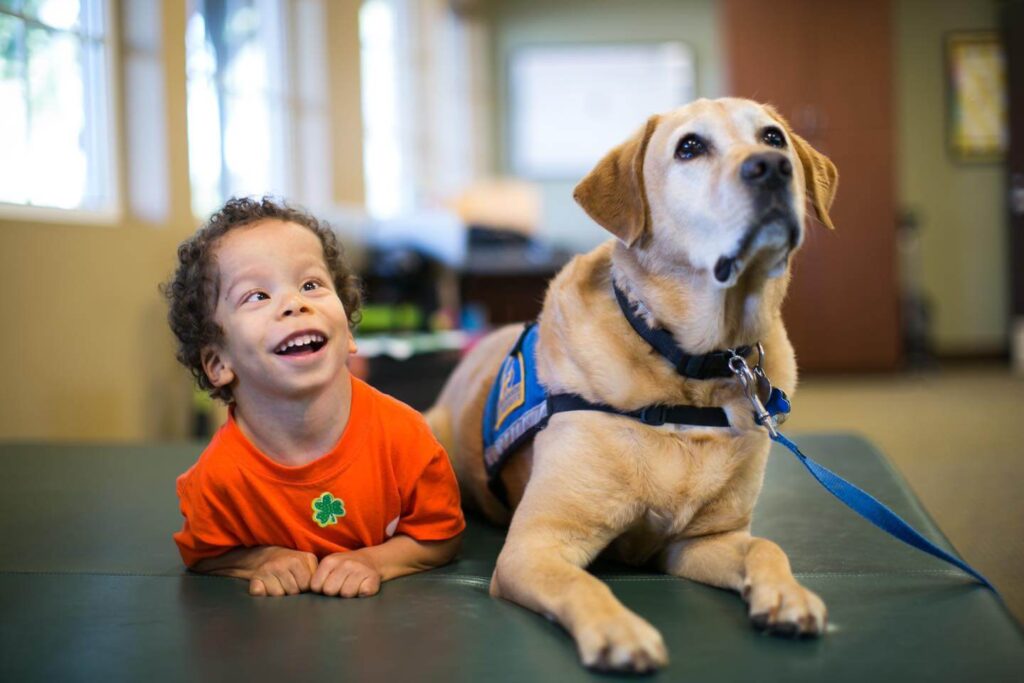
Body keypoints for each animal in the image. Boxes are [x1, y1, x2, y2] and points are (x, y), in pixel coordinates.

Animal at [425, 97, 838, 672]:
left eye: (773, 137)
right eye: (690, 147)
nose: (771, 167)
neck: (692, 368)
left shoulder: (700, 541)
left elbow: (765, 546)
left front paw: (787, 594)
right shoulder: (535, 544)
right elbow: (582, 584)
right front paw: (619, 630)